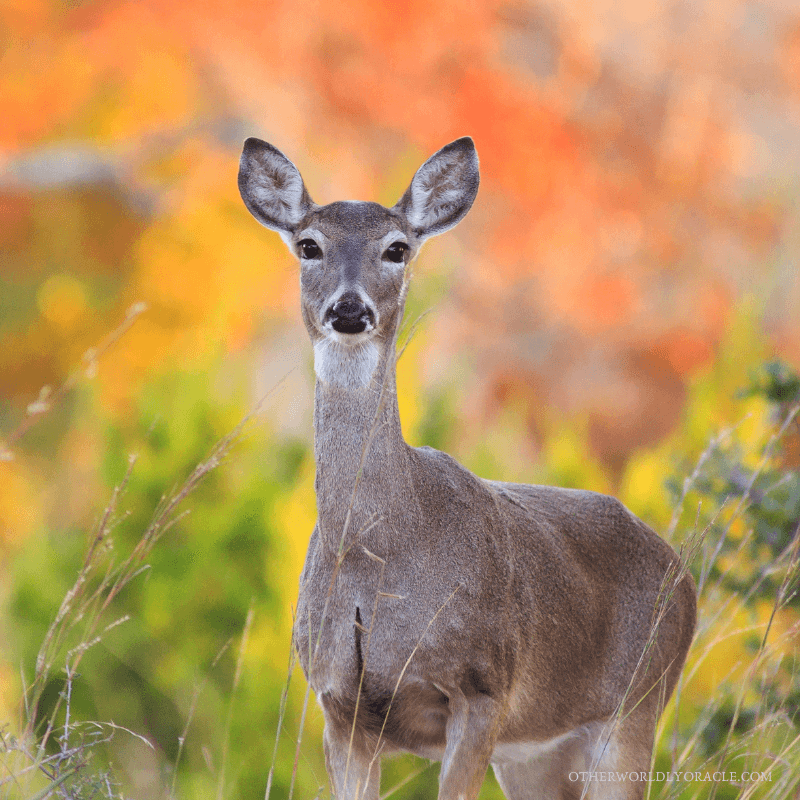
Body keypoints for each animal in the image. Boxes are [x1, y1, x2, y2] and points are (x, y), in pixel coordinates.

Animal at [238, 135, 697, 800]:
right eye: (309, 245)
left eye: (397, 248)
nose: (349, 310)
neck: (383, 554)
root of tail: (684, 579)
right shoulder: (337, 707)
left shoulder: (484, 688)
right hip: (536, 753)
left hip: (636, 708)